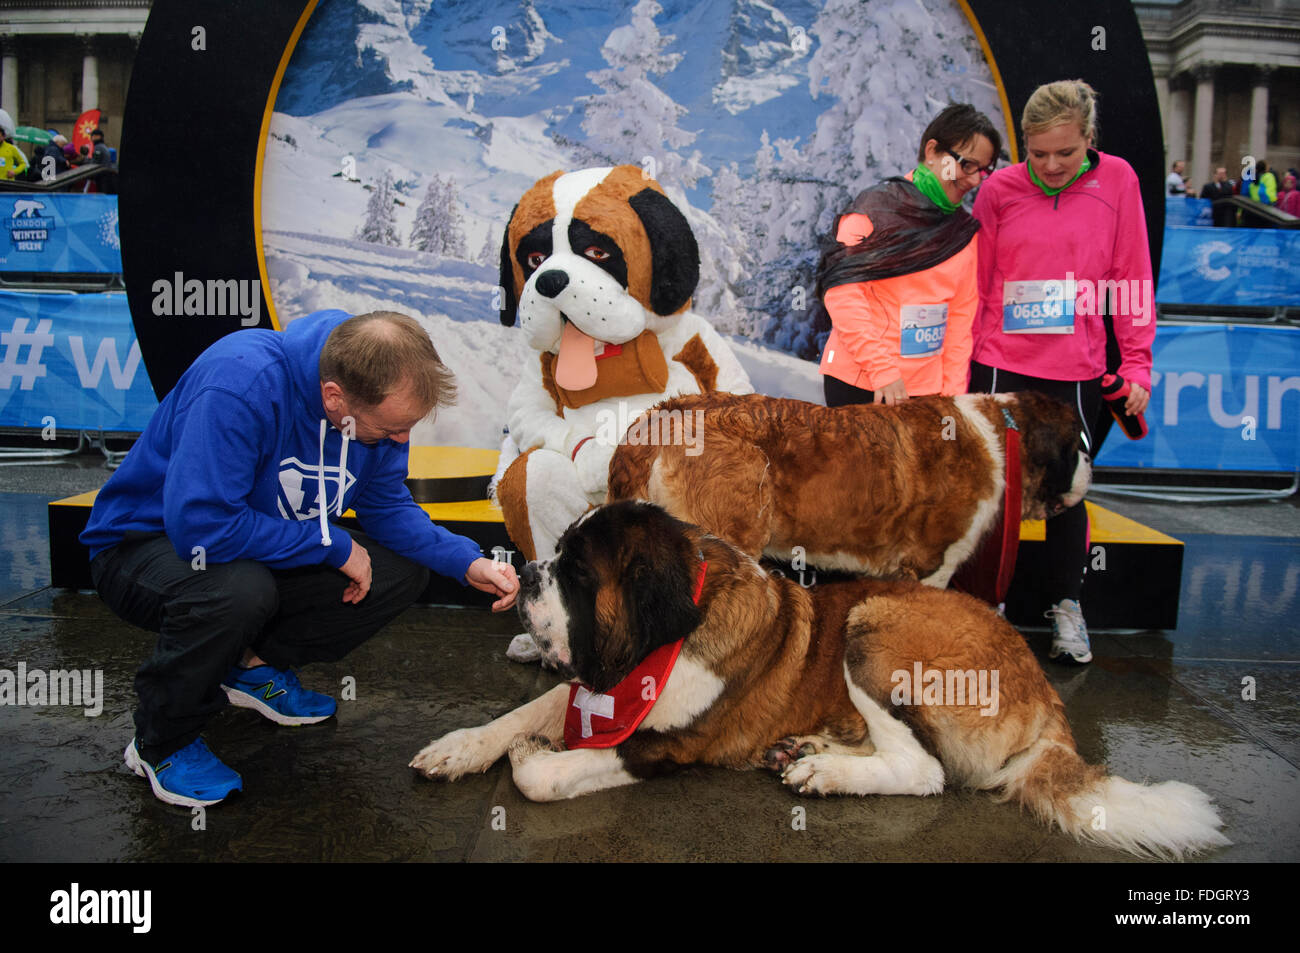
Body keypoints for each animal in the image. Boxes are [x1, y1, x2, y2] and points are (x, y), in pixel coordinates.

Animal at [413, 501, 1227, 858]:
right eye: (553, 554)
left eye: (579, 574)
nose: (524, 573)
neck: (664, 637)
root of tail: (1044, 690)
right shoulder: (594, 686)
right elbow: (527, 711)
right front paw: (460, 746)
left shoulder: (666, 744)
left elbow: (545, 773)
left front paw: (532, 757)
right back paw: (809, 750)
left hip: (874, 623)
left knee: (926, 771)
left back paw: (827, 773)